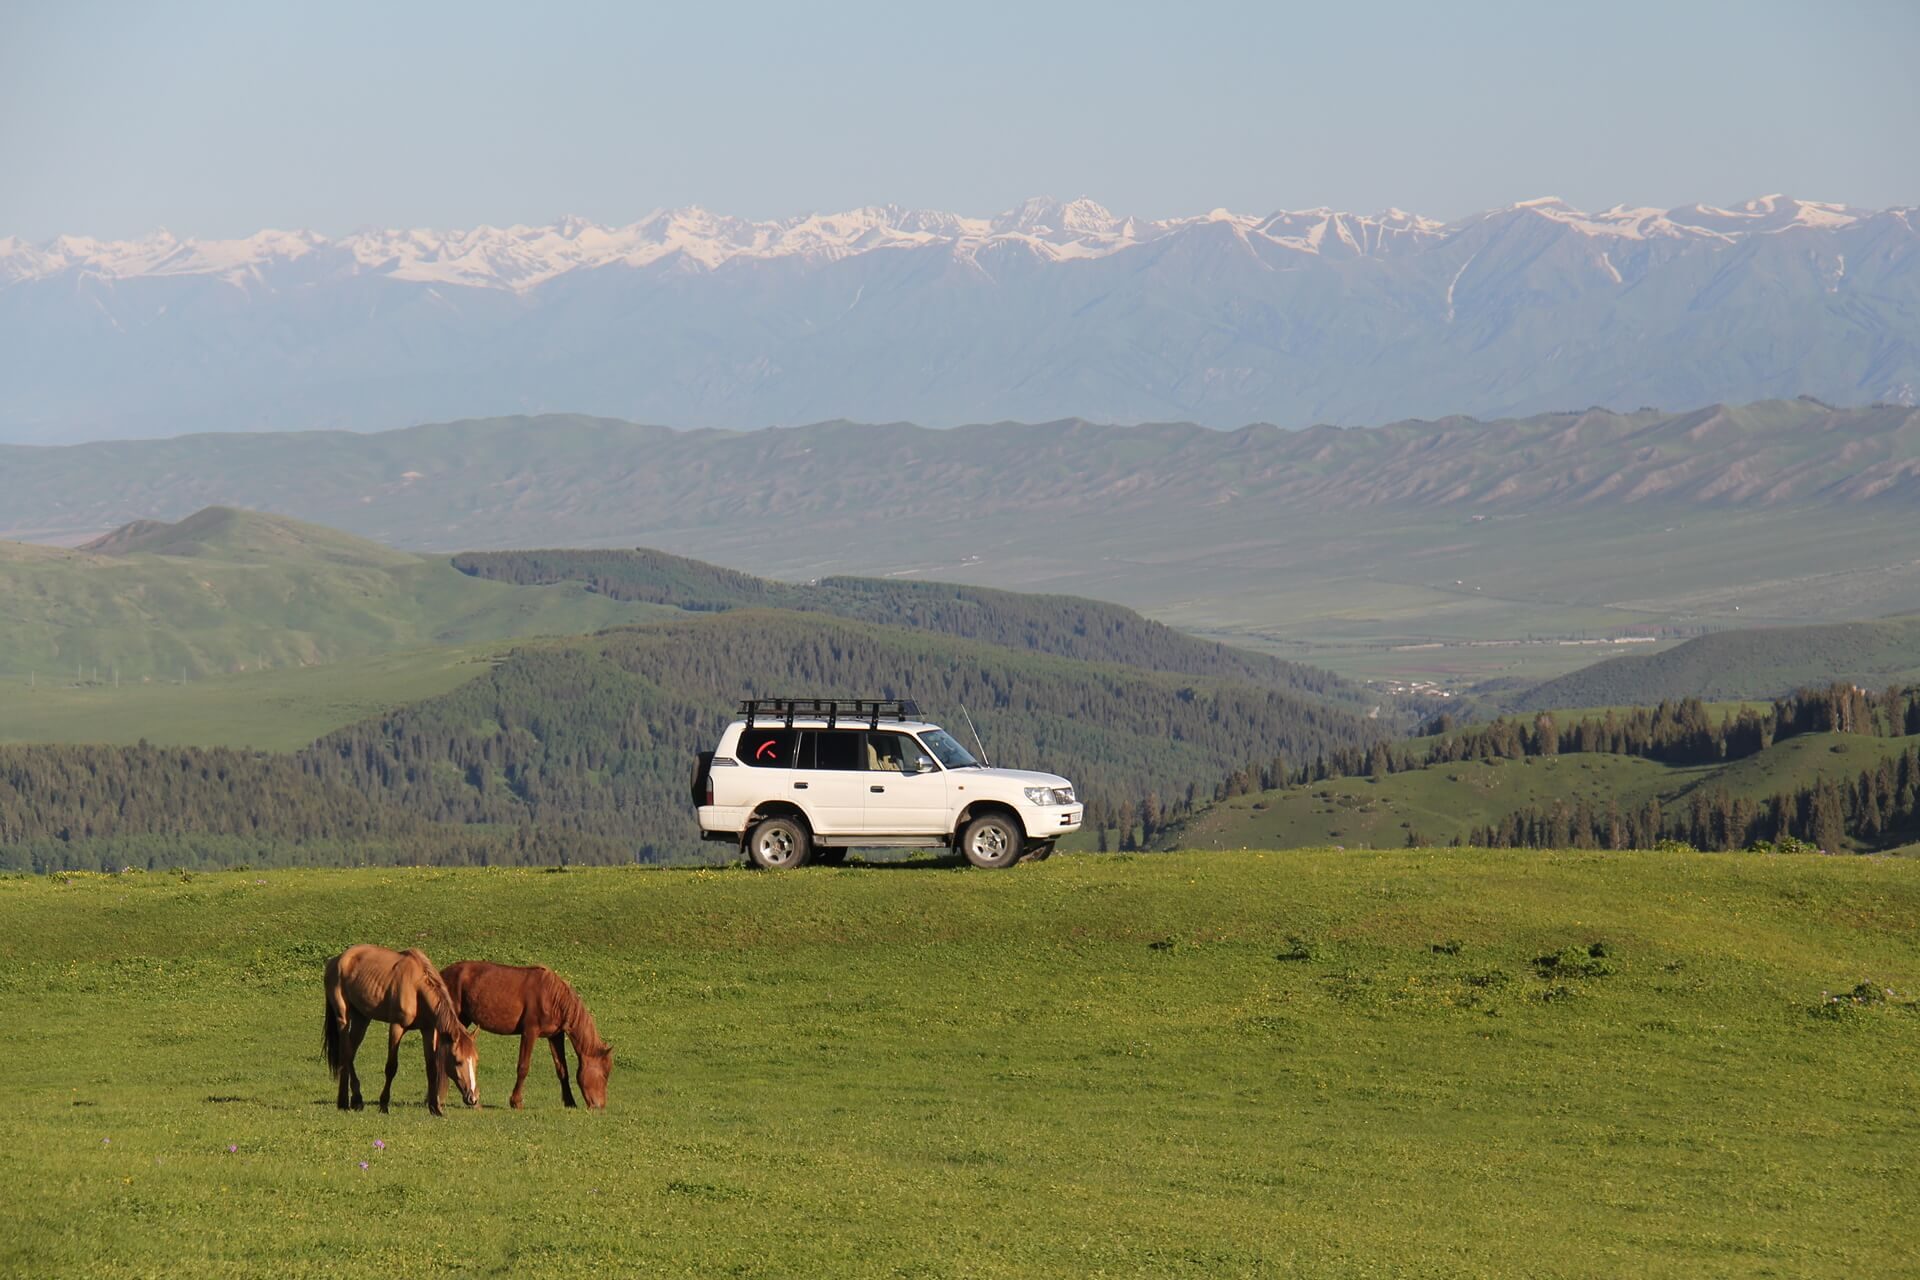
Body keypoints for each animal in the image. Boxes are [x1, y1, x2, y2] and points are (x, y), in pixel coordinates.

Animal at [322, 948, 480, 1113]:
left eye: (476, 1060)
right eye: (458, 1061)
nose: (473, 1098)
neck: (417, 988)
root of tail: (335, 960)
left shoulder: (428, 1030)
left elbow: (432, 1068)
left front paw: (435, 1108)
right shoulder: (397, 1027)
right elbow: (391, 1067)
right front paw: (384, 1105)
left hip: (362, 1018)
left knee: (350, 1054)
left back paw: (356, 1100)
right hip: (343, 1017)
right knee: (346, 1053)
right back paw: (344, 1101)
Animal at [441, 959, 614, 1113]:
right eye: (605, 1074)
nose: (599, 1106)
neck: (552, 997)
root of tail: (443, 973)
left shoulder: (555, 1036)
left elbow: (562, 1069)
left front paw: (570, 1102)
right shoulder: (530, 1032)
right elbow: (523, 1067)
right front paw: (516, 1102)